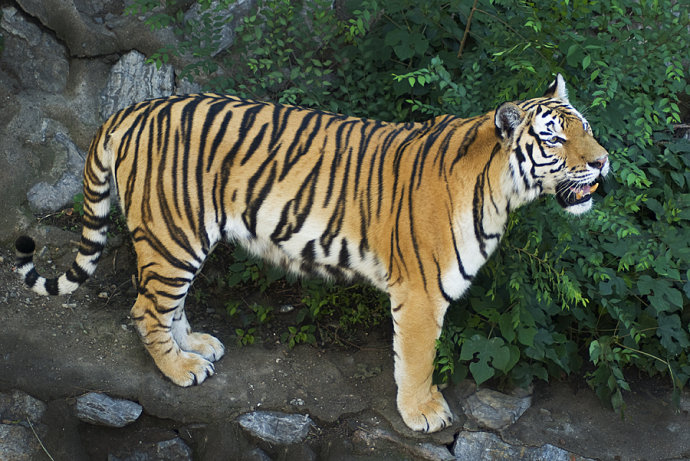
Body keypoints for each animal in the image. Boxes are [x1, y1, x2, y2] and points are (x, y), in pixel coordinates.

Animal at [14, 74, 609, 433]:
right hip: (172, 236)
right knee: (144, 309)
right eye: (554, 139)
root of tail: (131, 110)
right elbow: (417, 358)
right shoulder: (421, 292)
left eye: (588, 128)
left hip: (183, 241)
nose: (604, 162)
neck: (504, 193)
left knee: (167, 305)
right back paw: (181, 369)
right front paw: (424, 412)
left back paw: (198, 347)